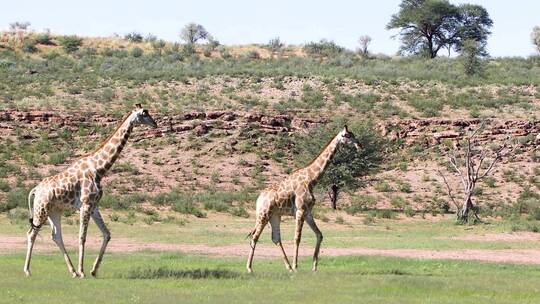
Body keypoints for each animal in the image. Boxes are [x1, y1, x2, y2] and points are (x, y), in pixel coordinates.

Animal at [23, 104, 158, 278]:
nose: (155, 124)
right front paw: (83, 272)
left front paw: (93, 270)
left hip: (54, 211)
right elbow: (82, 237)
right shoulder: (85, 204)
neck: (99, 169)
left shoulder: (94, 206)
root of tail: (35, 189)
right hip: (41, 209)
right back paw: (28, 270)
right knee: (31, 233)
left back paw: (72, 271)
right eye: (144, 114)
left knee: (56, 236)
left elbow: (107, 234)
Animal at [248, 124, 358, 272]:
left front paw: (314, 266)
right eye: (347, 135)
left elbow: (319, 234)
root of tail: (258, 199)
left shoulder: (308, 212)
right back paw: (250, 268)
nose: (359, 145)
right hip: (264, 214)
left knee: (276, 238)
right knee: (255, 237)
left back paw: (288, 267)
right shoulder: (300, 210)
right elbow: (297, 238)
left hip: (275, 216)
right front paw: (296, 266)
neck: (311, 179)